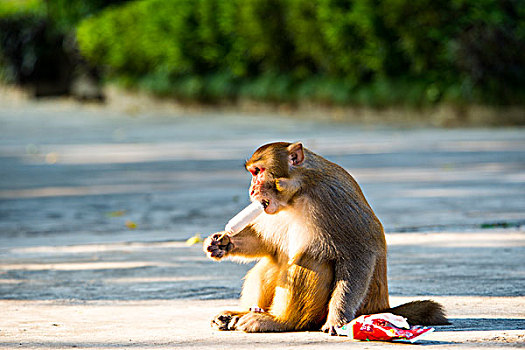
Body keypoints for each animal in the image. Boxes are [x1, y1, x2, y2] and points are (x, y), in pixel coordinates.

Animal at [201, 141, 446, 332]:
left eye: (258, 172)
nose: (252, 190)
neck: (298, 194)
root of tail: (382, 308)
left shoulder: (332, 198)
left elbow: (359, 255)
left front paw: (338, 317)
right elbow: (267, 244)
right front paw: (222, 243)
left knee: (310, 259)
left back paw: (279, 321)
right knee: (273, 263)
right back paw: (240, 314)